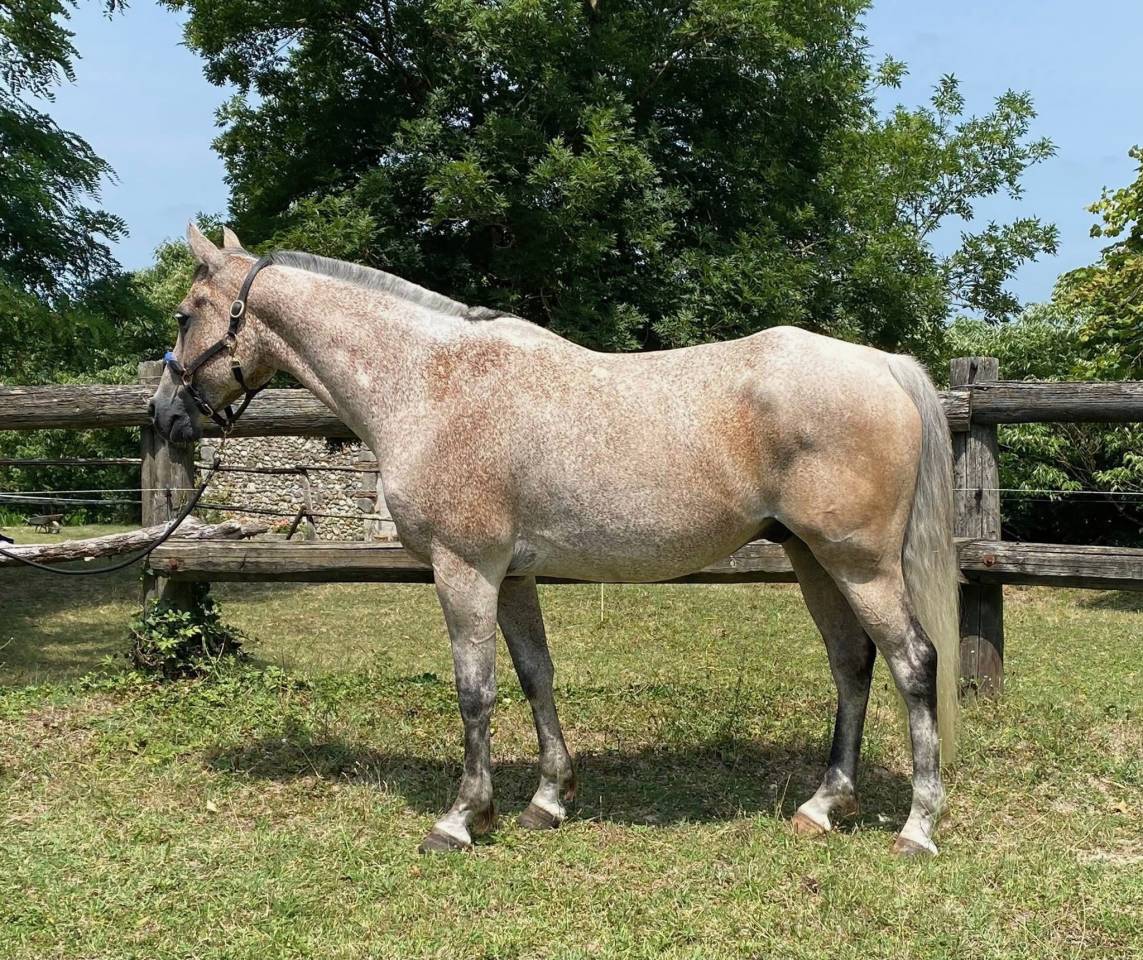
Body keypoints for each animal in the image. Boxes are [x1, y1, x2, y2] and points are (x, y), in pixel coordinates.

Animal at [150, 223, 960, 857]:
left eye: (186, 316)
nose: (163, 416)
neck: (431, 384)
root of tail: (883, 364)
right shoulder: (510, 575)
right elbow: (535, 674)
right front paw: (547, 799)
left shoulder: (464, 569)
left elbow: (474, 690)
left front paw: (461, 818)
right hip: (813, 558)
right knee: (852, 665)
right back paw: (823, 807)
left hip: (860, 564)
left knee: (914, 663)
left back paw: (917, 828)